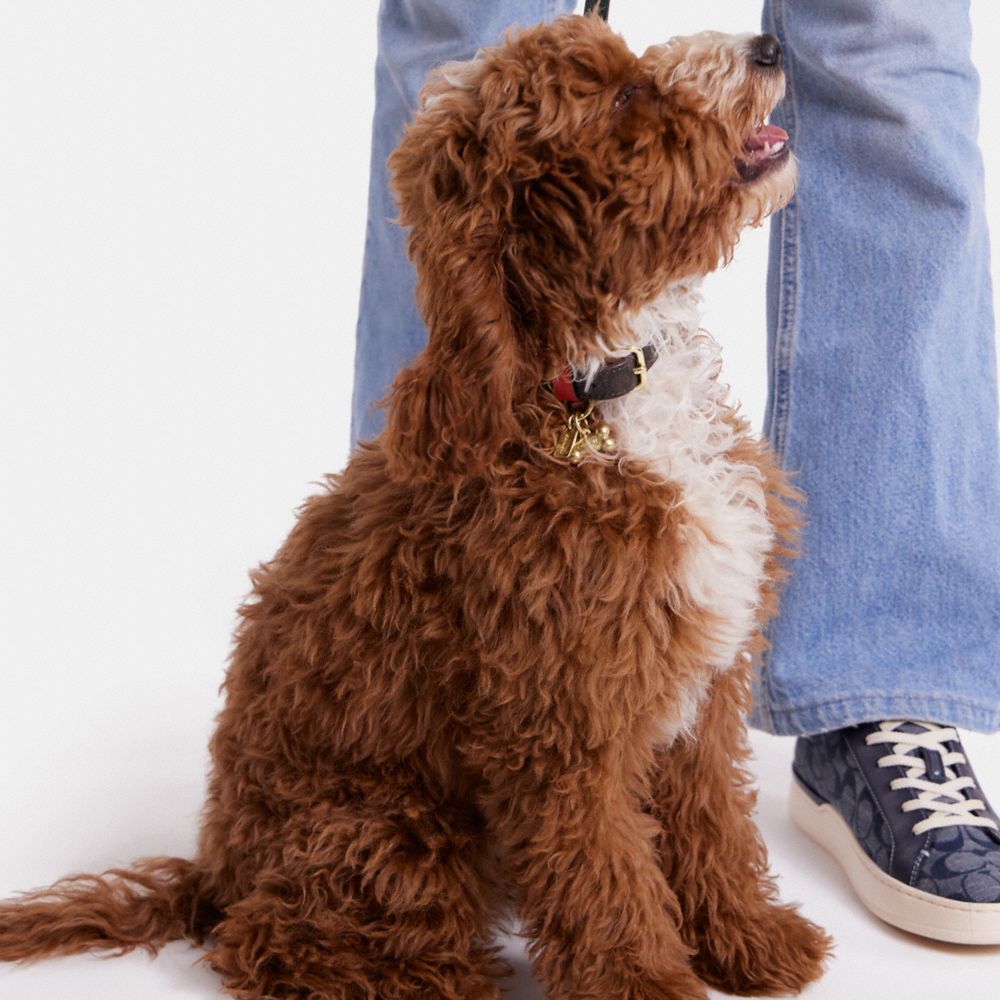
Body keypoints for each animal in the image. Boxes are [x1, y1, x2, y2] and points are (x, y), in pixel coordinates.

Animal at [0, 15, 828, 1000]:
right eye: (627, 94)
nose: (766, 47)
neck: (597, 388)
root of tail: (217, 869)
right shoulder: (559, 720)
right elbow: (604, 873)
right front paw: (646, 981)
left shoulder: (702, 687)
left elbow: (713, 823)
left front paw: (746, 937)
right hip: (392, 828)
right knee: (271, 941)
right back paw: (446, 977)